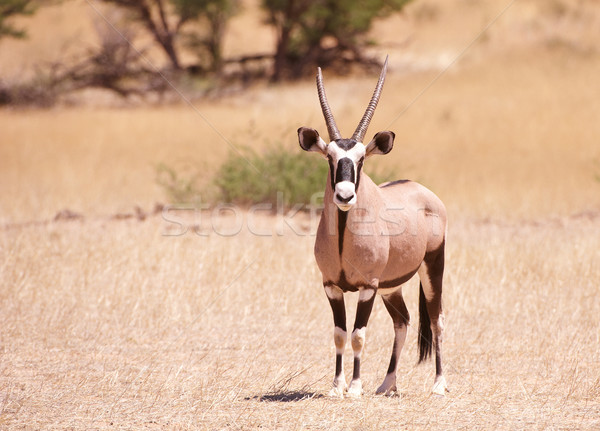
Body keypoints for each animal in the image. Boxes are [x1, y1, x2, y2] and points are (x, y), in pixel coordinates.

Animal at [298, 57, 448, 398]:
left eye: (361, 158)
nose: (344, 196)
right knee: (403, 322)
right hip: (391, 287)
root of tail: (423, 191)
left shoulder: (367, 287)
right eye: (330, 157)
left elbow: (358, 335)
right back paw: (387, 383)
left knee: (436, 320)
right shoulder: (332, 286)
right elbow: (340, 333)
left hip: (432, 268)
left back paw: (439, 383)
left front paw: (354, 387)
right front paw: (337, 386)